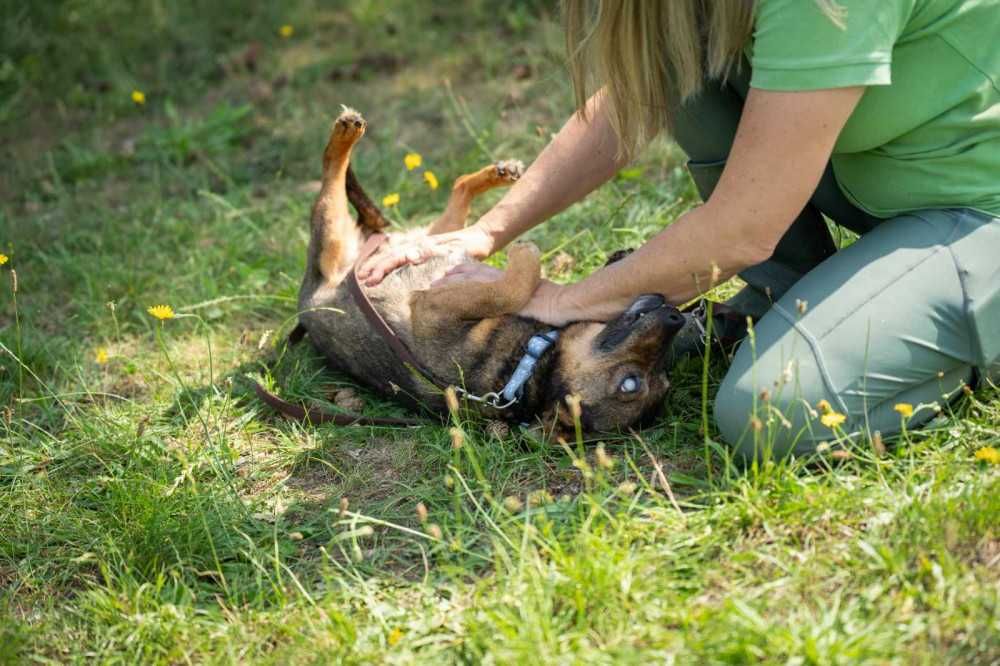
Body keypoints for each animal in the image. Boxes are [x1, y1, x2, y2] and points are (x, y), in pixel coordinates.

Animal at [296, 106, 688, 434]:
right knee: (454, 197)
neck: (527, 365)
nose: (676, 316)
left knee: (331, 175)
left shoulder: (430, 308)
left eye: (635, 382)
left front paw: (526, 258)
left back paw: (346, 134)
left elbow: (509, 289)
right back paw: (495, 173)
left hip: (331, 238)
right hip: (426, 236)